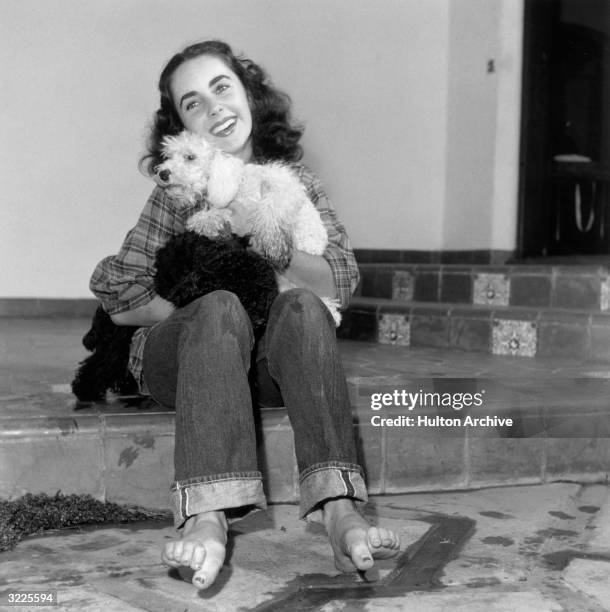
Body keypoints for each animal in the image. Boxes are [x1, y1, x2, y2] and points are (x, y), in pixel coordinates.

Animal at [72, 232, 278, 404]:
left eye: (263, 294)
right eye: (239, 293)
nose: (259, 321)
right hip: (119, 336)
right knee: (106, 359)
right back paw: (85, 389)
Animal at [154, 130, 340, 326]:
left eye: (190, 157)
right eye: (168, 156)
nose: (163, 173)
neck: (239, 184)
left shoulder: (283, 186)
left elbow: (269, 211)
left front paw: (272, 245)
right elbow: (219, 213)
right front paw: (205, 221)